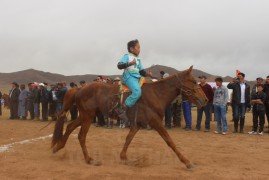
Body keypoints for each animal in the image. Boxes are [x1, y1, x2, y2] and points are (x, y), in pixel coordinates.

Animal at [52, 66, 207, 169]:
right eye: (194, 82)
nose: (205, 99)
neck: (156, 94)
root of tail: (79, 89)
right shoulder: (155, 122)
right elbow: (170, 141)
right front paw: (187, 162)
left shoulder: (137, 124)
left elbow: (128, 139)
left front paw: (124, 157)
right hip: (87, 117)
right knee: (81, 136)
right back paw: (89, 159)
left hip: (86, 116)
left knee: (70, 127)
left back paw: (58, 147)